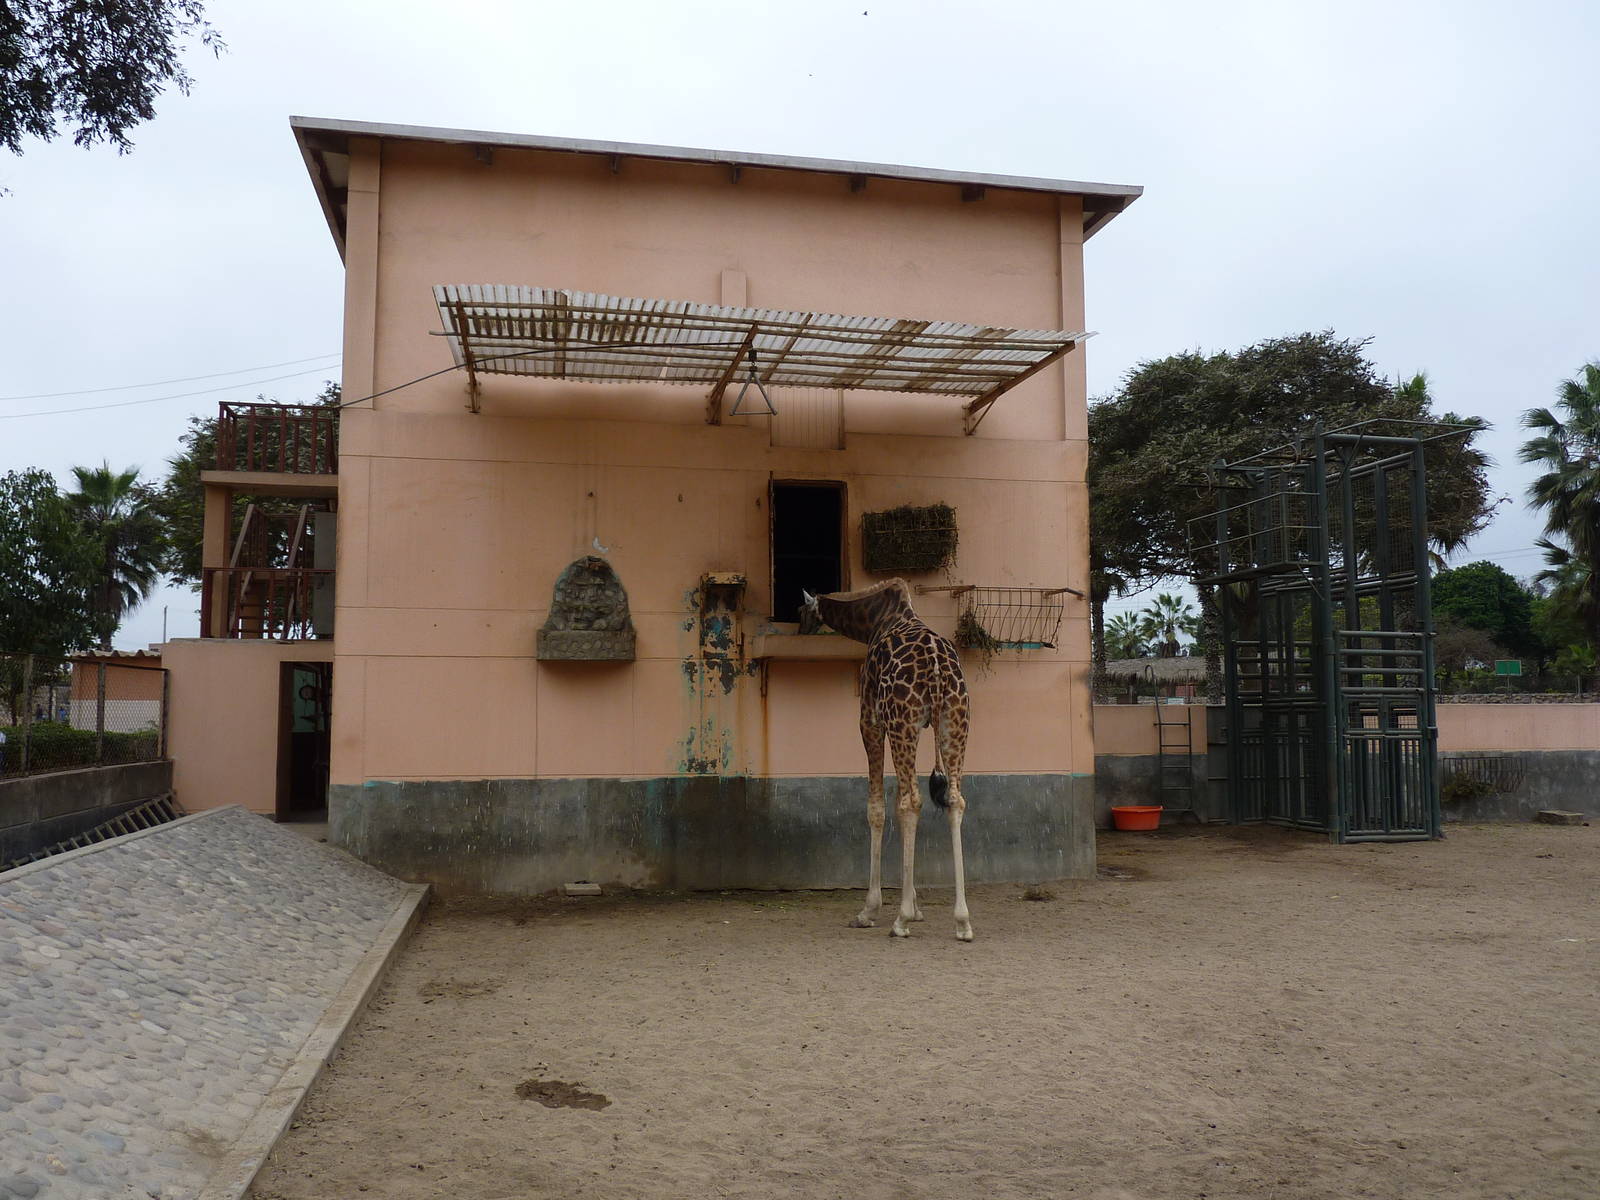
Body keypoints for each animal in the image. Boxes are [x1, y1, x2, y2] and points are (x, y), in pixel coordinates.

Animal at [798, 579, 973, 941]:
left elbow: (877, 809)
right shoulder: (898, 725)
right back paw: (962, 921)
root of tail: (937, 670)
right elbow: (895, 802)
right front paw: (917, 906)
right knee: (953, 799)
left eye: (800, 610)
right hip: (954, 721)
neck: (873, 620)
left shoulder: (871, 720)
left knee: (912, 801)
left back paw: (900, 920)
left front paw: (870, 910)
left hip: (903, 720)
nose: (801, 629)